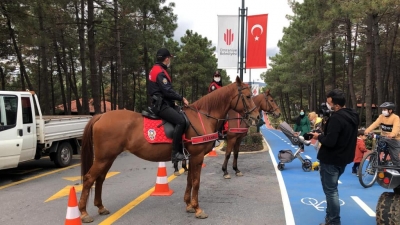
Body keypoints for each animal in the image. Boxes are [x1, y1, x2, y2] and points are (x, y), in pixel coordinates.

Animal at [78, 76, 260, 222]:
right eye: (248, 96)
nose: (256, 117)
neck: (201, 117)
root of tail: (101, 116)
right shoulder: (197, 156)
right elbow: (196, 182)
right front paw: (197, 208)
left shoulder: (191, 157)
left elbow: (189, 180)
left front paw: (189, 205)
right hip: (103, 158)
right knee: (88, 179)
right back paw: (83, 212)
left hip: (108, 158)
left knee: (99, 179)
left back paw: (100, 207)